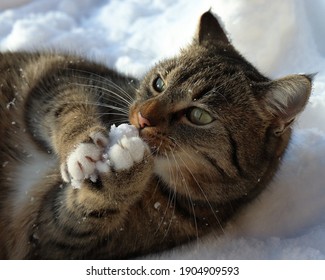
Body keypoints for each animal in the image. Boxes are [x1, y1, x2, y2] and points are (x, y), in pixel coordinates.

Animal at [0, 10, 310, 260]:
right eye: (158, 83)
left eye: (199, 116)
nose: (142, 118)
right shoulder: (62, 71)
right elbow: (66, 103)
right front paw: (83, 148)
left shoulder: (52, 240)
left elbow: (79, 216)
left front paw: (123, 167)